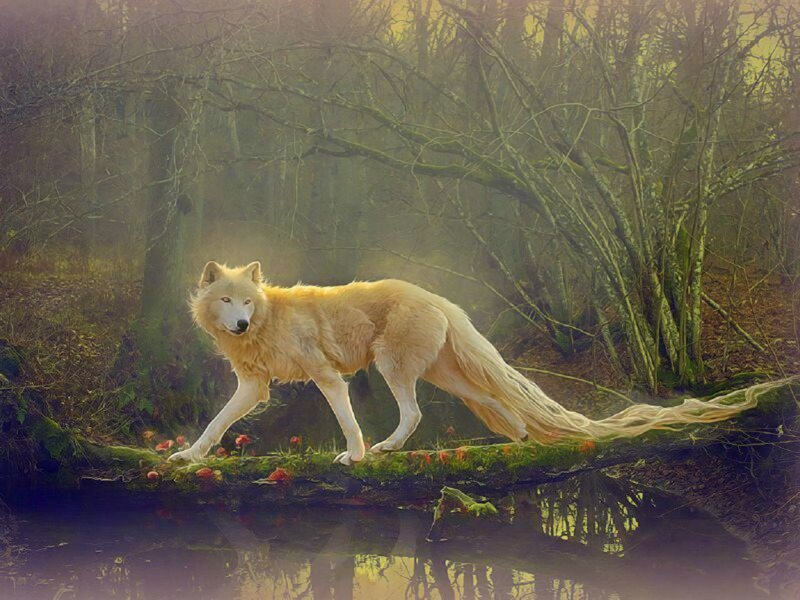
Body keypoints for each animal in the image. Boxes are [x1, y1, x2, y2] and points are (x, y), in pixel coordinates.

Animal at [169, 261, 768, 465]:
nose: (239, 324)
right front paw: (189, 458)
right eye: (227, 300)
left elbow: (347, 420)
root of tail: (439, 297)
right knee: (499, 402)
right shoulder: (253, 388)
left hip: (394, 370)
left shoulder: (327, 376)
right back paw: (522, 440)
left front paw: (355, 456)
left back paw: (386, 449)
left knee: (414, 415)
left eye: (247, 301)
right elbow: (216, 424)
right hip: (447, 379)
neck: (268, 321)